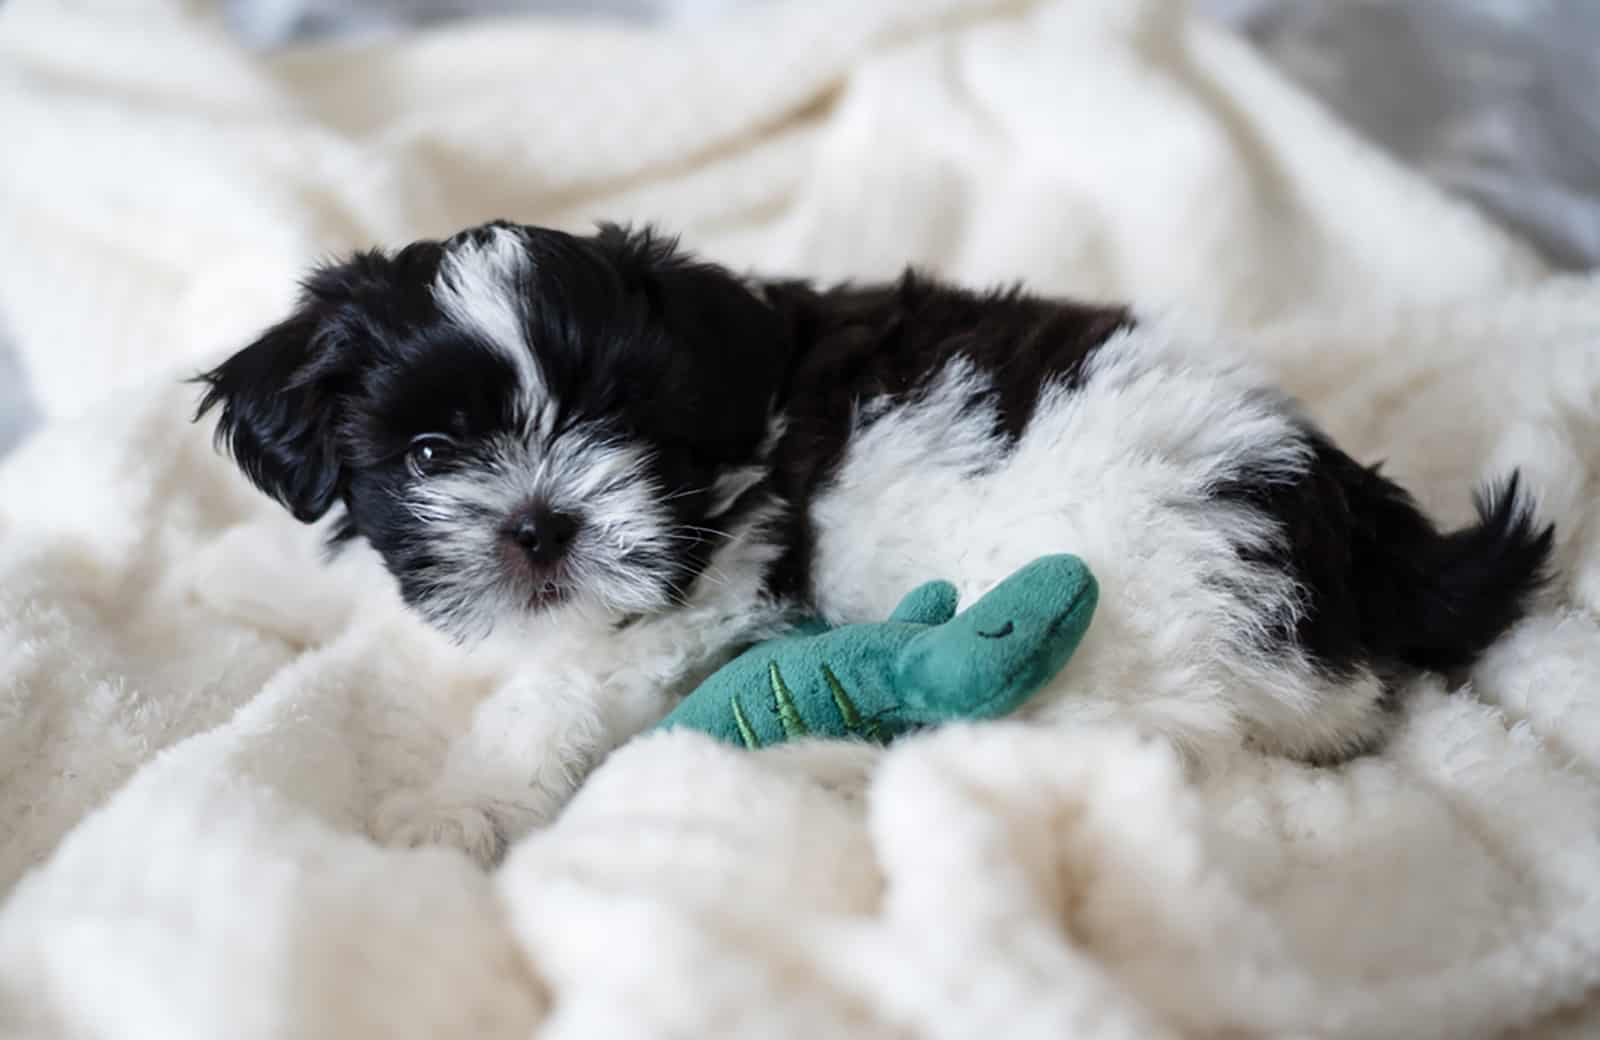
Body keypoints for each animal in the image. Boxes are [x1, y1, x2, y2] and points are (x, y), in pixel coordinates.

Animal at [190, 220, 1548, 857]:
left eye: (620, 425)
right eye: (428, 455)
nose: (538, 525)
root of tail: (1355, 530)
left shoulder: (704, 597)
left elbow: (553, 695)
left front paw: (452, 807)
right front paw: (253, 577)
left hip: (1122, 589)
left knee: (1082, 735)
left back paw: (835, 772)